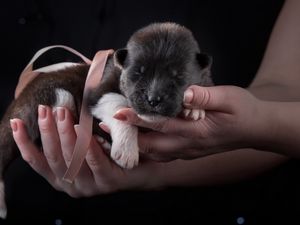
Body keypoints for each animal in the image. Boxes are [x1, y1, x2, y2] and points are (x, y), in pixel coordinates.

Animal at [0, 22, 213, 217]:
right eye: (138, 73)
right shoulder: (99, 95)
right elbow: (119, 107)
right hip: (55, 96)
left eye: (178, 76)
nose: (153, 100)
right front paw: (126, 150)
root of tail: (15, 106)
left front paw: (195, 109)